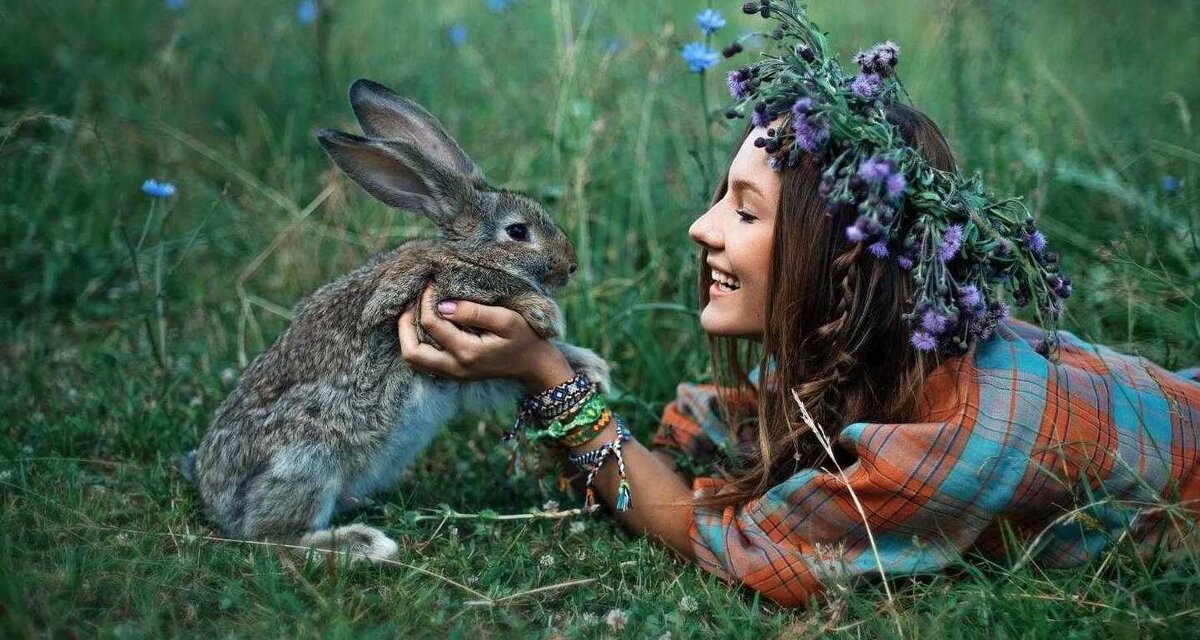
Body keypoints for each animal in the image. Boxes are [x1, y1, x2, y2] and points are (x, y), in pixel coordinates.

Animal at [187, 78, 611, 561]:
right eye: (518, 232)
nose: (570, 267)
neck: (468, 252)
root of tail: (218, 501)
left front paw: (590, 367)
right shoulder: (444, 297)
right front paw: (546, 313)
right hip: (308, 456)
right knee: (271, 537)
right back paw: (361, 543)